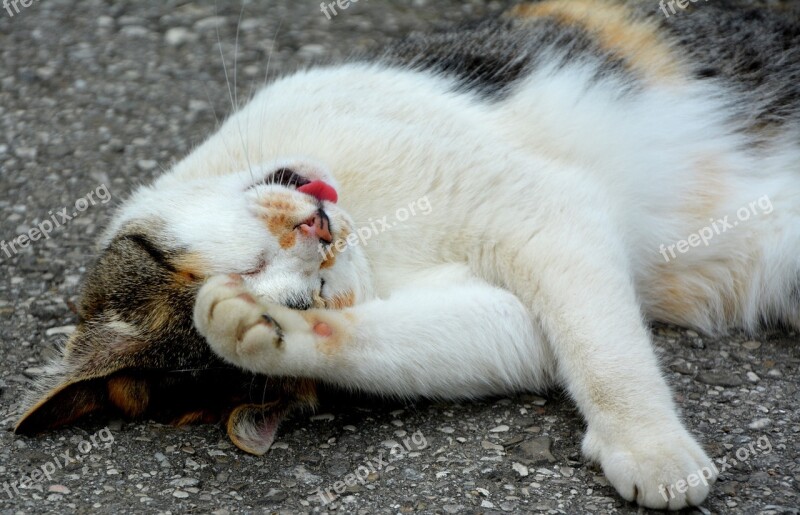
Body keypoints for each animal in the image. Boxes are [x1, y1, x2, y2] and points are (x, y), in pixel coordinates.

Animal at [12, 0, 800, 510]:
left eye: (258, 263)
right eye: (300, 294)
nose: (321, 236)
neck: (380, 230)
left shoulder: (542, 209)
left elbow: (605, 351)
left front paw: (652, 447)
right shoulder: (519, 298)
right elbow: (500, 338)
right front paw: (261, 333)